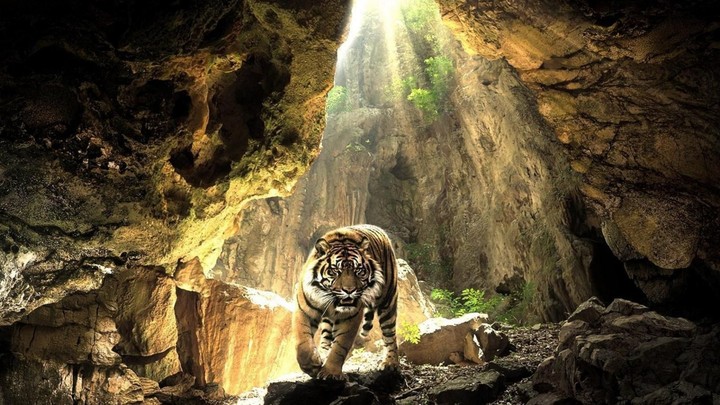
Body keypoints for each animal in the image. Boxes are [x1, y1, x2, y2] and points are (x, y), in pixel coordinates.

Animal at [293, 224, 399, 380]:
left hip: (388, 301)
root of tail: (378, 228)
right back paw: (323, 353)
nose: (349, 290)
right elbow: (302, 341)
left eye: (359, 271)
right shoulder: (303, 310)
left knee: (390, 335)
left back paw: (390, 363)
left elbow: (340, 346)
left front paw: (330, 373)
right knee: (326, 336)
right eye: (334, 271)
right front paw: (312, 365)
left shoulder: (350, 317)